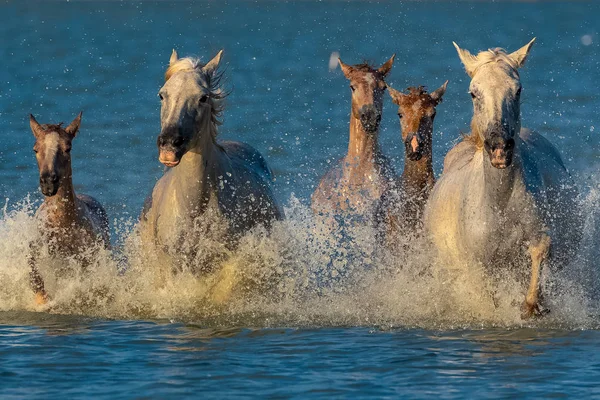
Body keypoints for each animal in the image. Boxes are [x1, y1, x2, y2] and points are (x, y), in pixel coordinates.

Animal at [422, 39, 580, 318]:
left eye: (518, 90)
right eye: (473, 93)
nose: (499, 148)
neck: (499, 203)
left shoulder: (537, 239)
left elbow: (541, 252)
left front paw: (532, 307)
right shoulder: (478, 265)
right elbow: (488, 300)